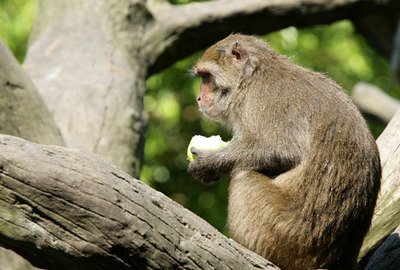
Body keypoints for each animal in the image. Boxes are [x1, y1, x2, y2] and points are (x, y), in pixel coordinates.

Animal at [188, 34, 382, 270]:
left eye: (206, 77)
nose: (199, 98)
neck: (250, 78)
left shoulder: (264, 99)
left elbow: (283, 150)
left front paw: (207, 163)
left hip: (284, 235)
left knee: (244, 175)